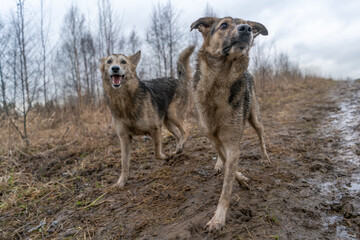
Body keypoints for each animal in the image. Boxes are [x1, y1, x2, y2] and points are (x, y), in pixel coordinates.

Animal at [99, 46, 194, 188]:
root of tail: (178, 80)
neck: (123, 102)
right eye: (109, 61)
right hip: (168, 122)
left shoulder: (155, 129)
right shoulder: (124, 138)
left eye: (123, 62)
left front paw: (165, 157)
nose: (115, 68)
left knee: (186, 130)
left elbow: (157, 153)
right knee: (179, 135)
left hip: (173, 115)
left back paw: (178, 148)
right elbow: (124, 163)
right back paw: (178, 149)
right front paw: (121, 181)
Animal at [191, 16, 270, 231]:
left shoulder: (232, 143)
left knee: (261, 136)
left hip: (255, 118)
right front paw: (238, 176)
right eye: (224, 25)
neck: (219, 82)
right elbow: (227, 163)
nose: (247, 29)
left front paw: (218, 219)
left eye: (245, 24)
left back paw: (265, 157)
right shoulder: (214, 138)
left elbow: (226, 187)